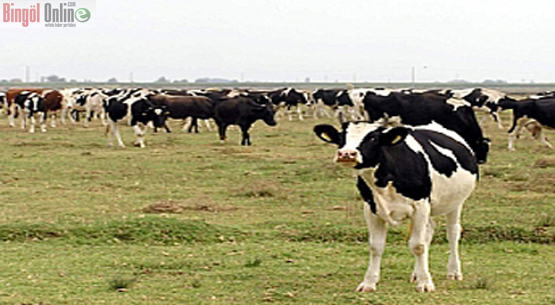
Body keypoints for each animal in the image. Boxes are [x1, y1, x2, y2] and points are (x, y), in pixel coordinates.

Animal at [314, 119, 480, 292]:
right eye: (341, 138)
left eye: (373, 138)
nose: (346, 154)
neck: (384, 182)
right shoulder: (371, 209)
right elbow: (376, 246)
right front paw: (369, 283)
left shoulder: (420, 205)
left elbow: (418, 245)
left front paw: (425, 283)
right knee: (429, 231)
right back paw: (417, 274)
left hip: (455, 202)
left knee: (453, 232)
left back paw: (454, 271)